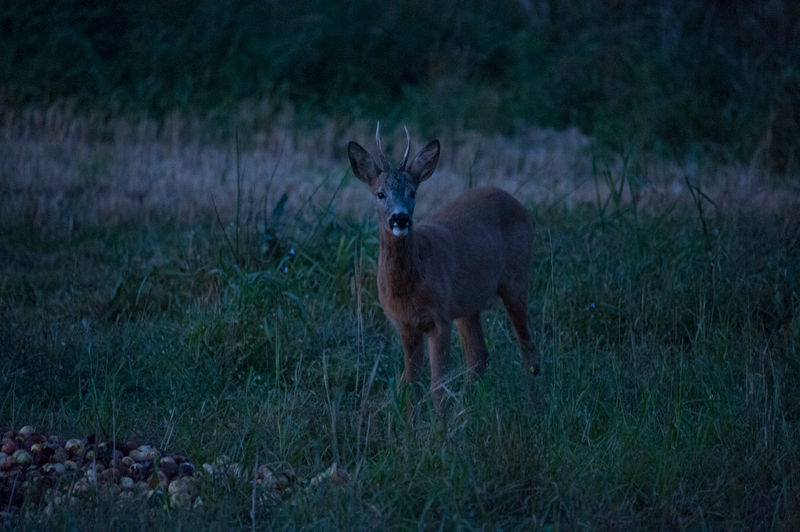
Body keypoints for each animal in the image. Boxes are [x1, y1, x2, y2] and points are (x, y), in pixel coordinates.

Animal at [348, 122, 540, 402]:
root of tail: (520, 206)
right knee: (479, 355)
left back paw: (533, 400)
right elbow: (411, 384)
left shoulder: (439, 318)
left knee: (528, 345)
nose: (400, 218)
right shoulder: (405, 325)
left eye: (412, 192)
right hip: (467, 304)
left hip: (516, 278)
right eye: (380, 194)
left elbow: (437, 386)